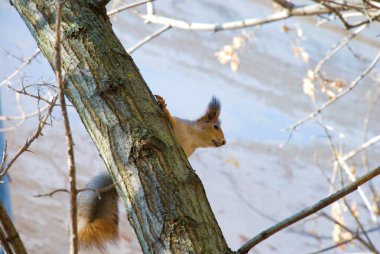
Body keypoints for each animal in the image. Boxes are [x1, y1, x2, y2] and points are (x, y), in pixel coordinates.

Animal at [77, 95, 226, 250]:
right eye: (216, 127)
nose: (224, 142)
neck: (193, 140)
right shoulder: (179, 127)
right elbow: (171, 121)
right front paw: (163, 105)